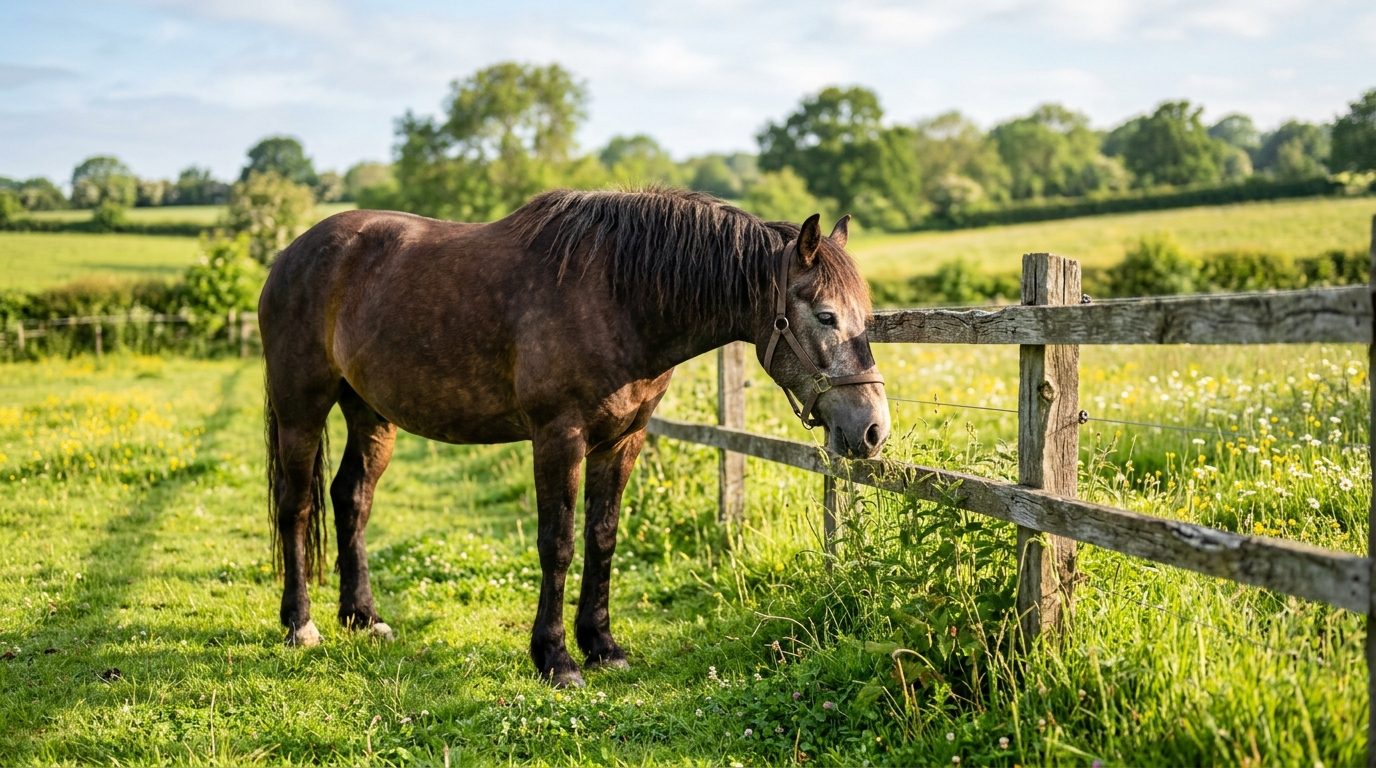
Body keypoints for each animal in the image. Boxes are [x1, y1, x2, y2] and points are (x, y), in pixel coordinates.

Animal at [258, 188, 890, 687]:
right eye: (826, 316)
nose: (873, 428)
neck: (619, 295)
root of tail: (290, 254)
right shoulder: (558, 438)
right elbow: (557, 543)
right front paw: (556, 659)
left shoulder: (624, 439)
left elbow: (602, 537)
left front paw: (603, 646)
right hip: (301, 407)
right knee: (297, 506)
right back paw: (301, 624)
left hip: (370, 413)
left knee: (351, 499)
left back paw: (362, 617)